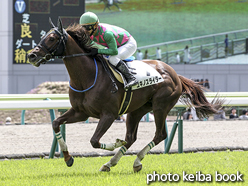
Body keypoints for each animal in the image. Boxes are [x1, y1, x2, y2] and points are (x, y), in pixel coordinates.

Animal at [28, 18, 224, 172]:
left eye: (52, 38)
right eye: (43, 36)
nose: (31, 55)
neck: (88, 77)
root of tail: (174, 74)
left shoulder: (109, 114)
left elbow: (94, 141)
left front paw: (116, 142)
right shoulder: (80, 112)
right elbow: (55, 123)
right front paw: (68, 158)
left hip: (161, 106)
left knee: (159, 135)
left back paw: (136, 161)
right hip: (137, 109)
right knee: (131, 138)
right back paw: (110, 163)